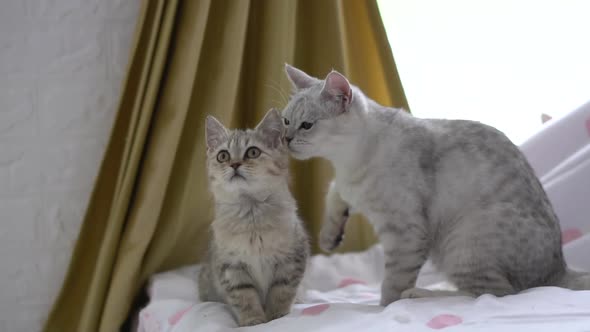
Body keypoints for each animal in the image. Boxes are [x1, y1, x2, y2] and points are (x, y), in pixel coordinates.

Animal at [199, 109, 310, 326]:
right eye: (223, 156)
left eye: (252, 152)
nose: (234, 164)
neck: (252, 218)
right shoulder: (232, 268)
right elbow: (245, 298)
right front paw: (254, 321)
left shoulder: (291, 259)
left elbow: (281, 292)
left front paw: (277, 316)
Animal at [280, 64, 590, 306]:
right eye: (285, 121)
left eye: (306, 125)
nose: (285, 139)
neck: (346, 163)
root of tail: (558, 268)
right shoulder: (347, 187)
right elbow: (334, 194)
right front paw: (329, 237)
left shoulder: (405, 231)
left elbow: (392, 283)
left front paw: (385, 308)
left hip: (463, 243)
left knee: (494, 293)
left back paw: (420, 293)